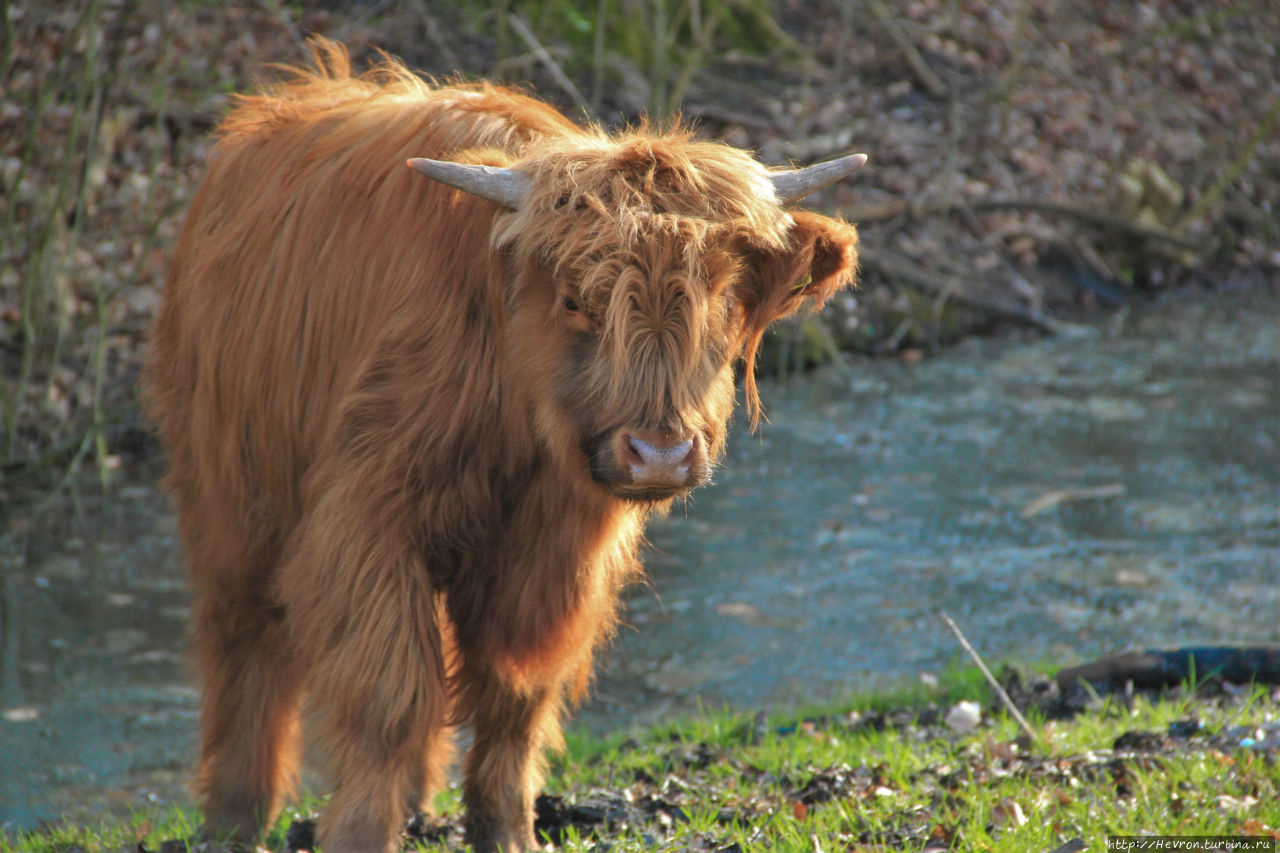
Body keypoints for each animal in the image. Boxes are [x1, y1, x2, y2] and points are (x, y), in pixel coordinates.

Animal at [142, 38, 860, 850]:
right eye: (575, 299)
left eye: (721, 295)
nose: (659, 453)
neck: (514, 419)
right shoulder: (366, 521)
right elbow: (389, 694)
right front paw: (360, 829)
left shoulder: (551, 552)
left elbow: (515, 695)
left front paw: (508, 830)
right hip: (230, 492)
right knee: (244, 643)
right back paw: (234, 816)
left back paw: (416, 803)